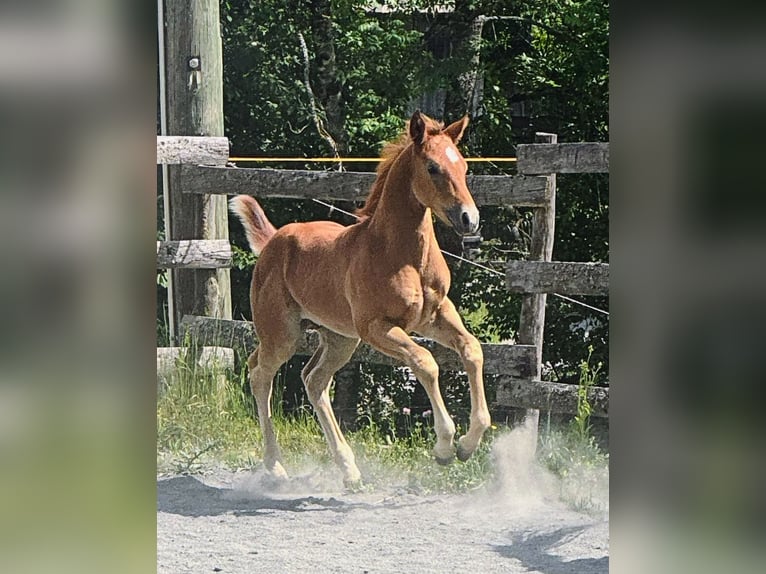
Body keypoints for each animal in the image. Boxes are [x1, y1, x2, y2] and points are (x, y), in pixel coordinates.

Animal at [229, 111, 491, 486]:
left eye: (465, 167)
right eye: (432, 167)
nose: (470, 219)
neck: (400, 254)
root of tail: (273, 241)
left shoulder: (435, 315)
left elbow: (472, 349)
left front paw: (469, 444)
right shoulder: (376, 328)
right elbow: (425, 361)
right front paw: (444, 447)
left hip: (340, 338)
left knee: (314, 381)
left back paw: (349, 469)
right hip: (283, 335)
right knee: (259, 374)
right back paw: (276, 467)